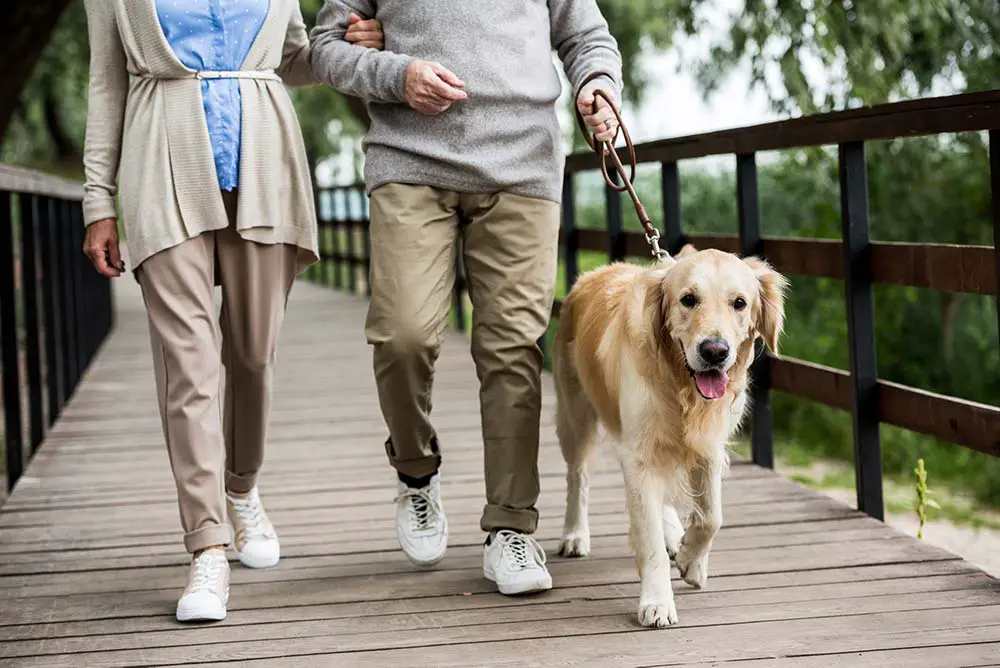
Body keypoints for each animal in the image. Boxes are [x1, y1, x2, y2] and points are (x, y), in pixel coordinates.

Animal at [552, 245, 784, 628]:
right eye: (688, 299)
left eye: (739, 303)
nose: (715, 351)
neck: (680, 384)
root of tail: (593, 273)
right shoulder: (639, 455)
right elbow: (649, 542)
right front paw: (657, 602)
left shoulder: (707, 445)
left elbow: (711, 517)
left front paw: (691, 560)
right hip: (576, 414)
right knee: (577, 477)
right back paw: (574, 534)